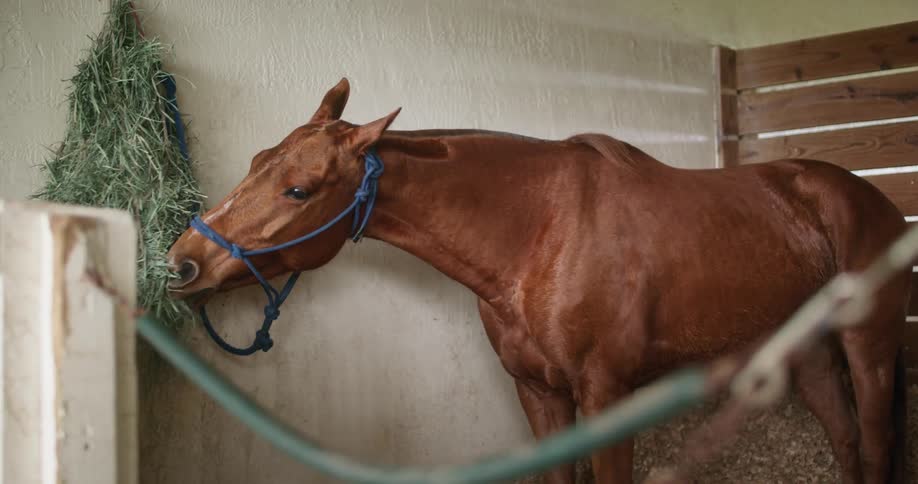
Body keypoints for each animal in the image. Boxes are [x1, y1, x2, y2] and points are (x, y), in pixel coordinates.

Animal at [166, 78, 909, 484]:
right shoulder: (538, 394)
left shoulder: (606, 395)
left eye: (298, 188)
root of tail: (871, 200)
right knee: (845, 442)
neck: (540, 232)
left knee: (874, 446)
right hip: (809, 352)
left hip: (868, 347)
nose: (182, 262)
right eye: (257, 161)